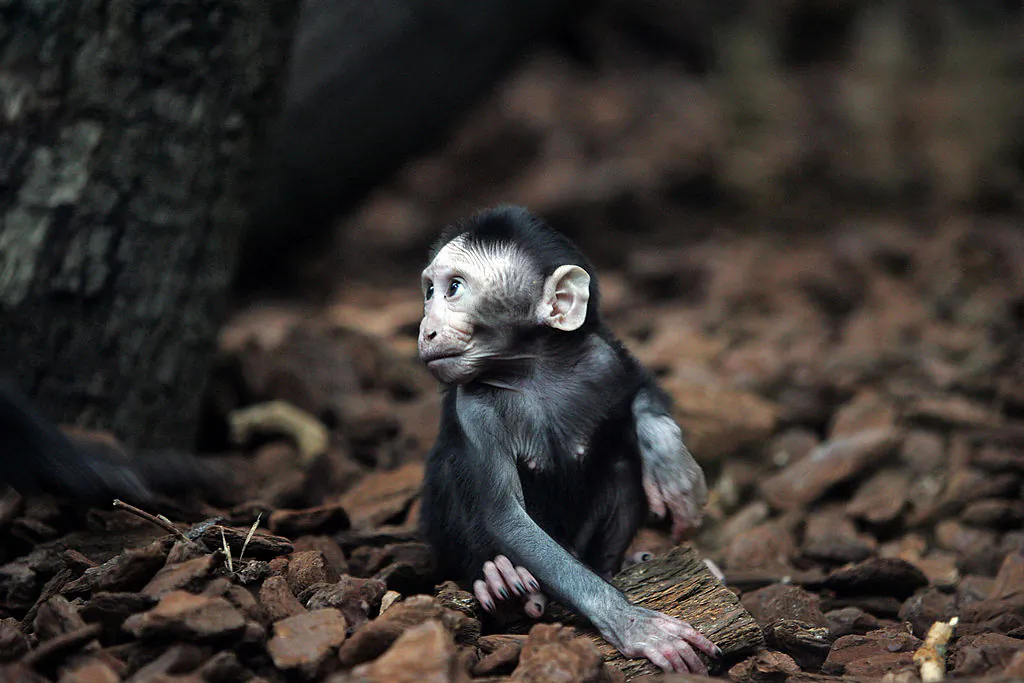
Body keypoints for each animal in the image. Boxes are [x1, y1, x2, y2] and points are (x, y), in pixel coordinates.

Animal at [417, 206, 719, 674]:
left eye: (453, 289)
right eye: (430, 291)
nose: (427, 328)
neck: (533, 369)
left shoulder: (601, 359)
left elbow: (640, 388)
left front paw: (671, 464)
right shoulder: (474, 409)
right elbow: (506, 517)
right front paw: (631, 622)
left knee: (621, 459)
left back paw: (617, 563)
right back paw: (498, 577)